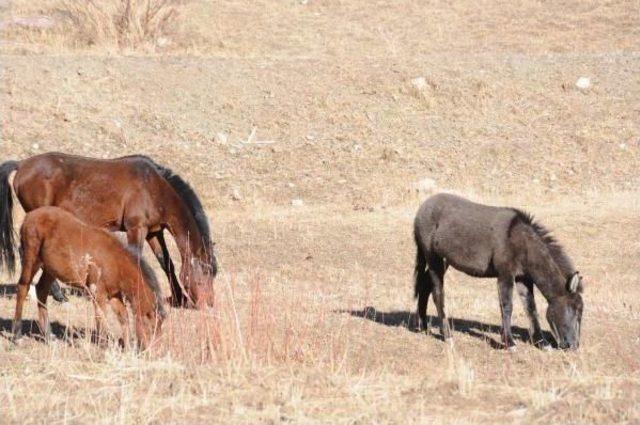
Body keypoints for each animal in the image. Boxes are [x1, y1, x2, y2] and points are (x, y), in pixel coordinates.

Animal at [0, 152, 218, 308]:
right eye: (206, 272)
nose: (209, 303)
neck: (154, 187)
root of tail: (22, 164)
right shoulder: (136, 228)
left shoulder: (154, 232)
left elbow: (167, 264)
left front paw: (179, 298)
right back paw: (58, 295)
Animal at [15, 205, 166, 348]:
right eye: (151, 327)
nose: (154, 351)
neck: (114, 261)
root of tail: (28, 217)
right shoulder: (98, 293)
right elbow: (101, 317)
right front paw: (103, 345)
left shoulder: (114, 294)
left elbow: (123, 316)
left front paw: (127, 348)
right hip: (32, 259)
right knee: (23, 288)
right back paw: (17, 335)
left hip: (50, 269)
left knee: (41, 291)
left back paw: (48, 336)